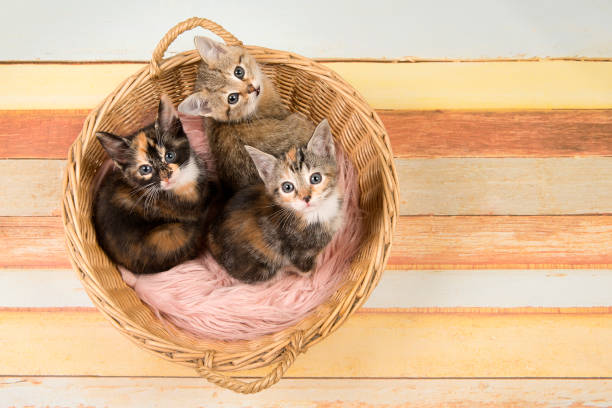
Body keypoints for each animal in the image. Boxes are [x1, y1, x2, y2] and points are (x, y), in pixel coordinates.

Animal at [209, 119, 344, 282]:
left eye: (315, 178)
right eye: (287, 187)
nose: (306, 198)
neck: (317, 213)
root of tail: (211, 238)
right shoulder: (297, 252)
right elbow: (304, 268)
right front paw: (312, 274)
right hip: (263, 267)